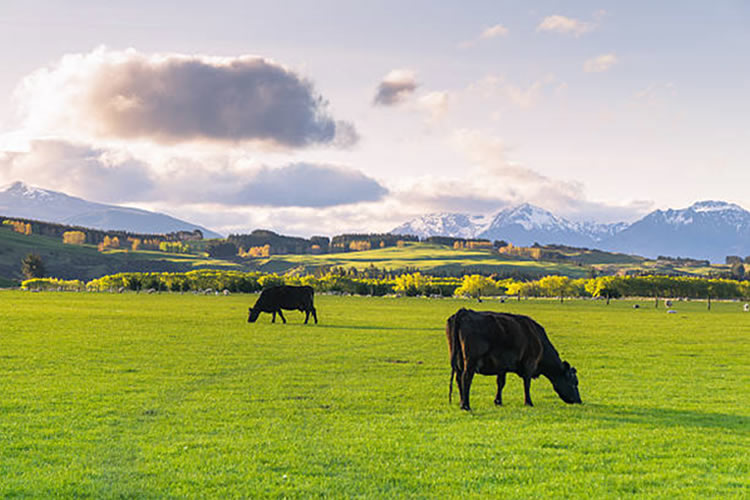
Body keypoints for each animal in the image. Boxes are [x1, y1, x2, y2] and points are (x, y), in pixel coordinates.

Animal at [446, 308, 580, 410]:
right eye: (574, 383)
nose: (579, 401)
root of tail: (464, 312)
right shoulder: (529, 364)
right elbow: (527, 383)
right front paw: (529, 402)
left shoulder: (502, 367)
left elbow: (501, 383)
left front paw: (498, 401)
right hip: (470, 361)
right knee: (466, 378)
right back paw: (466, 405)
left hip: (458, 362)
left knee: (458, 379)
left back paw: (462, 402)